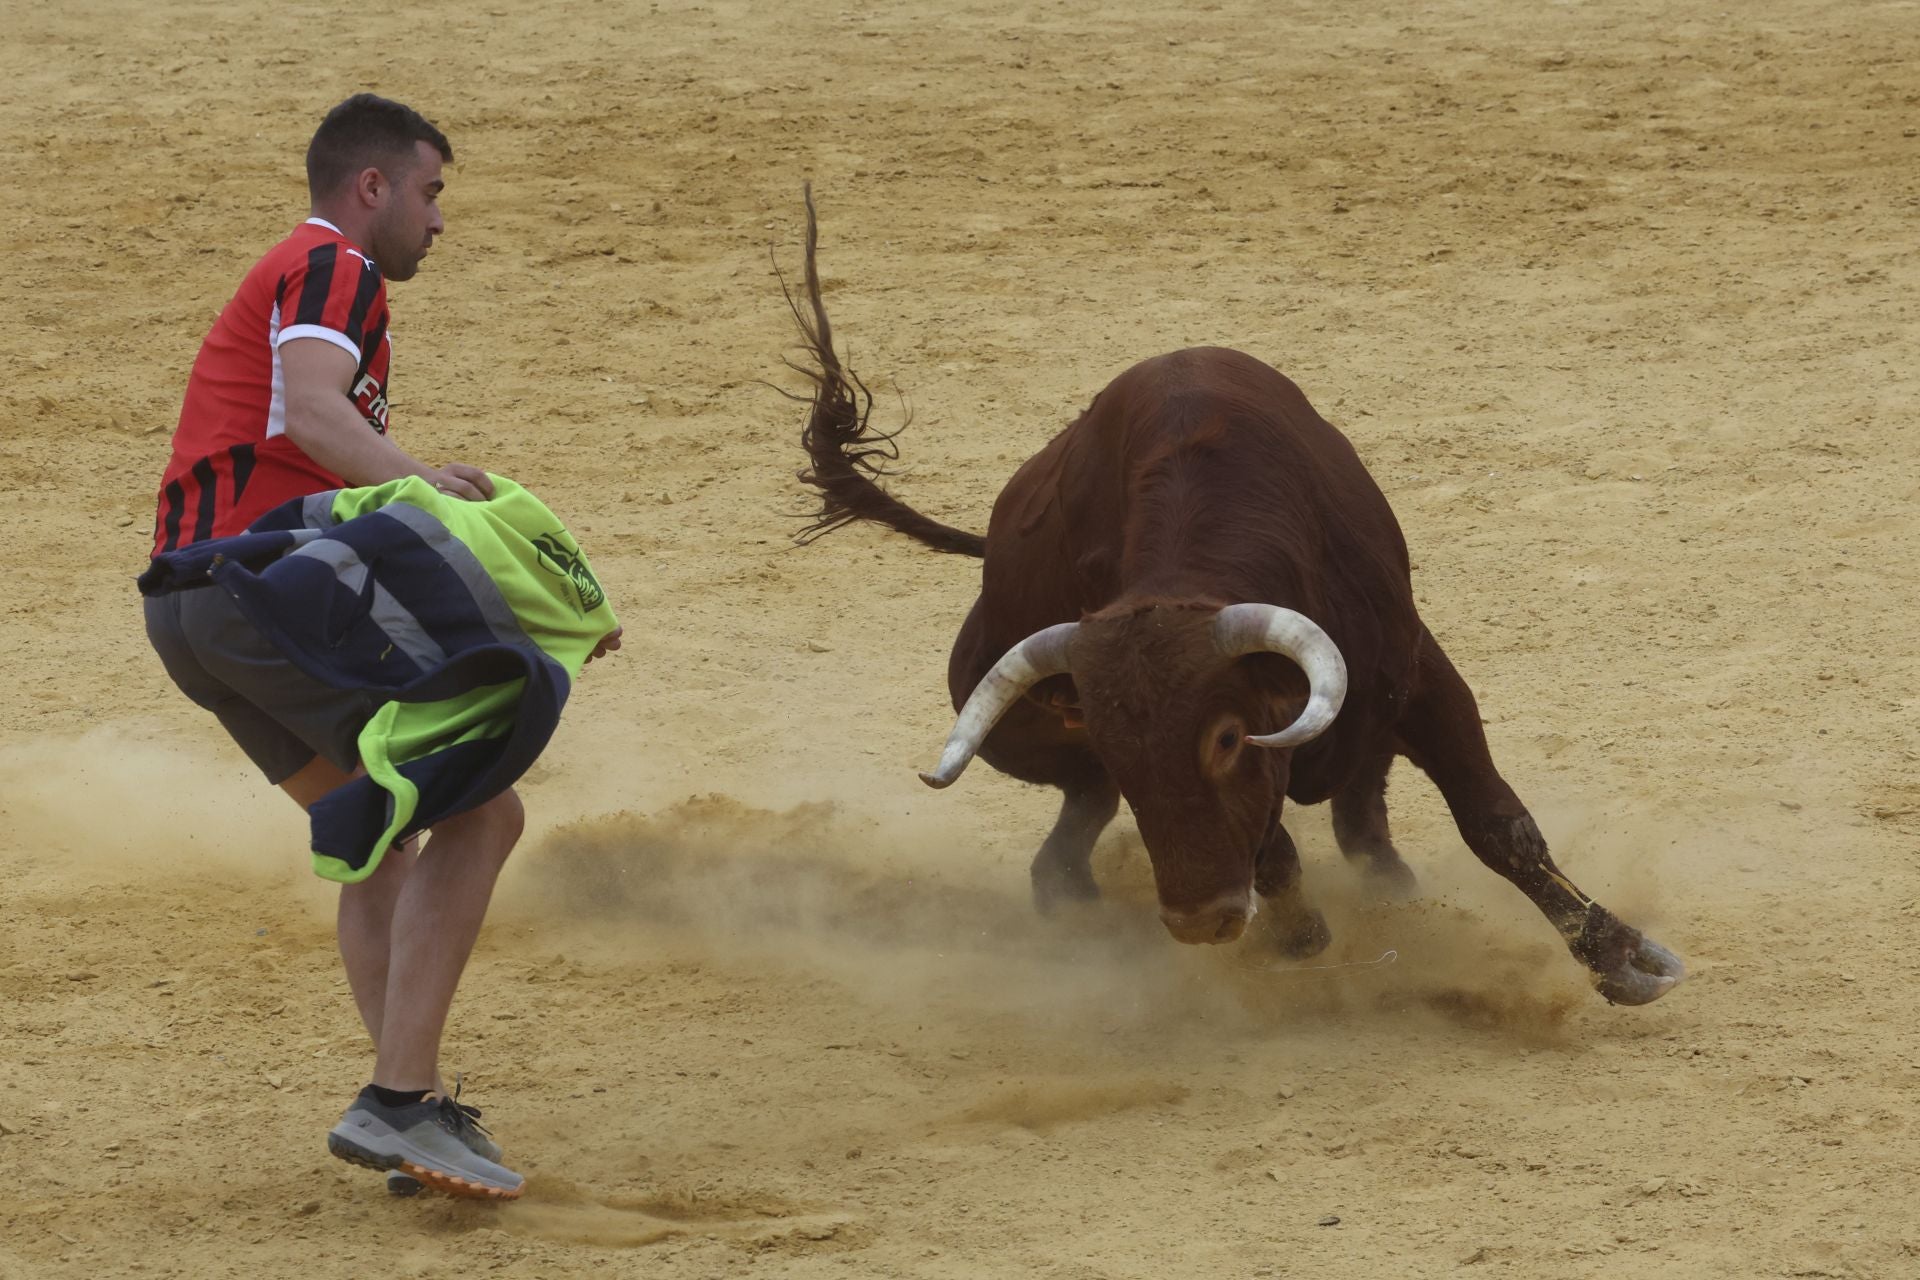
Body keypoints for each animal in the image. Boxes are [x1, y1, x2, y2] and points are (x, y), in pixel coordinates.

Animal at [780, 190, 1685, 1006]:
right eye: (1116, 742)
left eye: (1222, 737)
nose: (1199, 922)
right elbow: (1276, 851)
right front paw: (1301, 935)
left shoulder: (1419, 674)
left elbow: (1499, 825)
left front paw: (1622, 959)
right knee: (1071, 843)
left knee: (1360, 821)